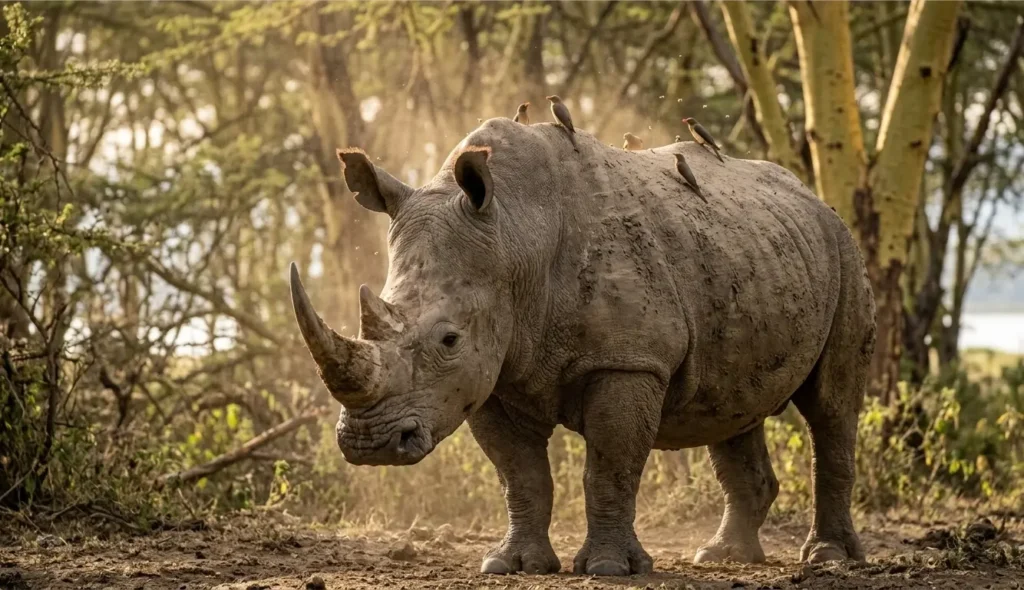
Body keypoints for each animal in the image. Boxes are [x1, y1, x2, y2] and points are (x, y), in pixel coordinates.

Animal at [289, 118, 875, 576]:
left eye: (449, 339)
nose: (370, 444)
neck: (514, 234)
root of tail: (810, 196)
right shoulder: (492, 374)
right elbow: (520, 475)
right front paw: (513, 565)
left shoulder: (627, 361)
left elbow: (609, 466)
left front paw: (609, 568)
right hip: (749, 253)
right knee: (731, 404)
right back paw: (724, 557)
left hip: (843, 250)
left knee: (831, 406)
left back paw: (828, 558)